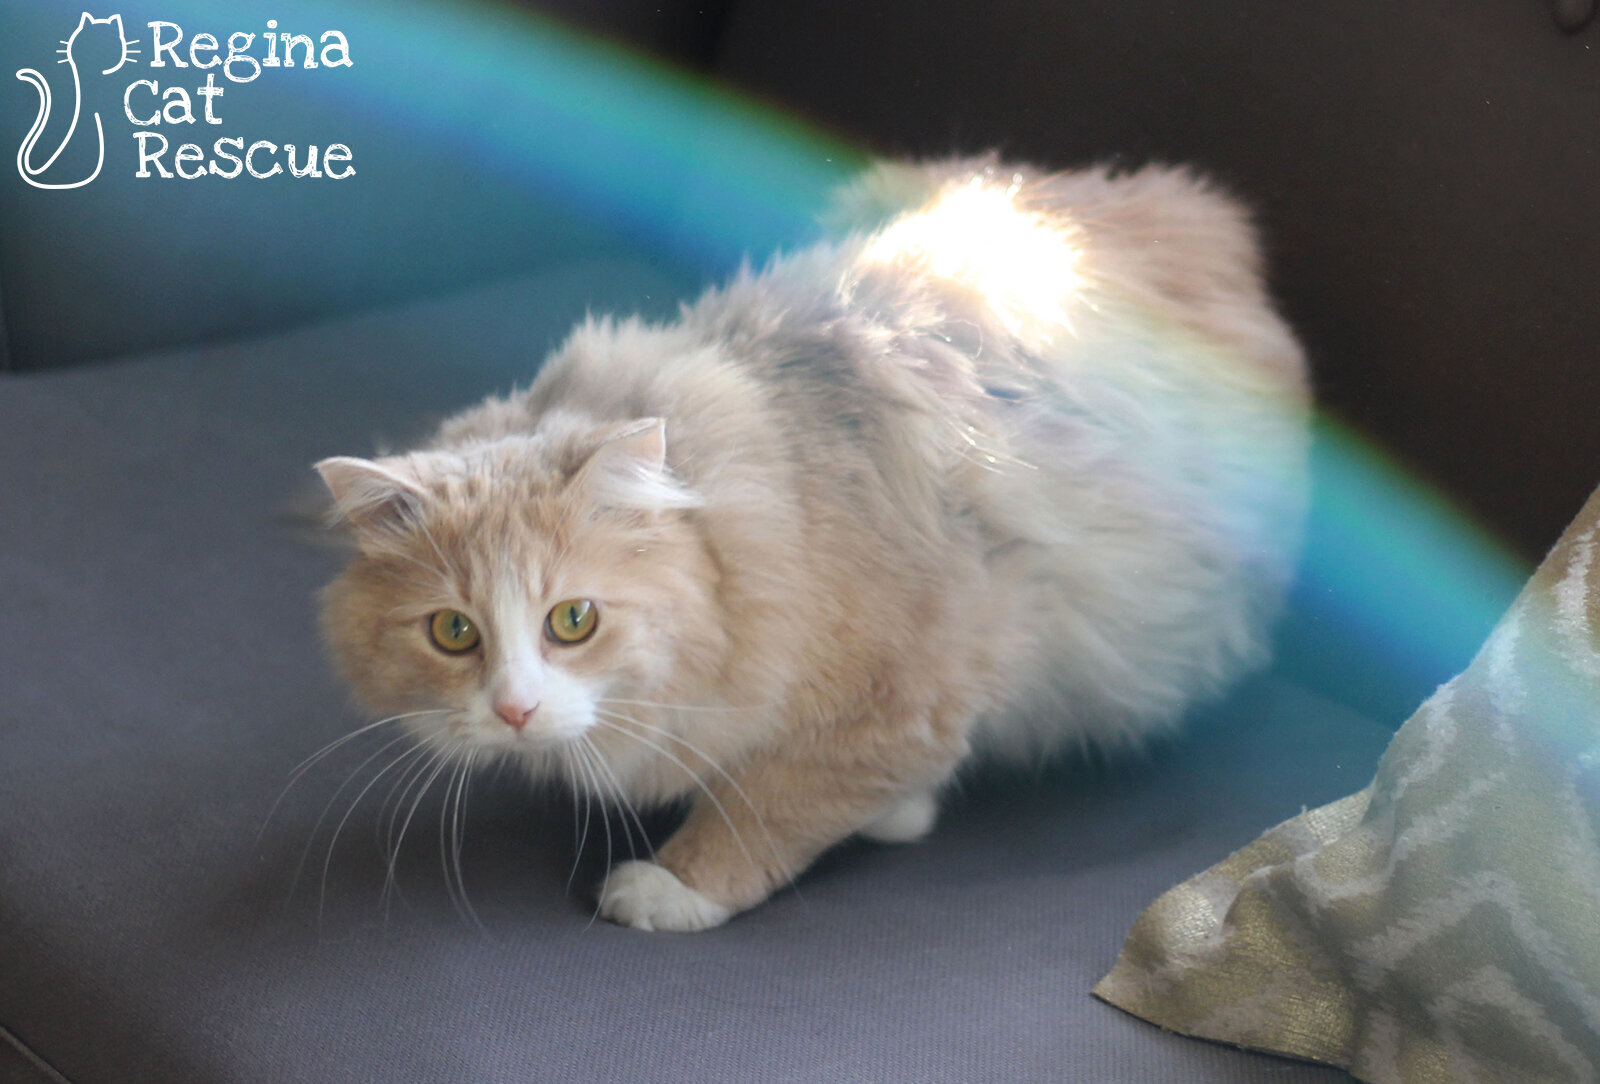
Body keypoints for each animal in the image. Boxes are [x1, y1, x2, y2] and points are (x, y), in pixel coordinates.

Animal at [314, 156, 1311, 931]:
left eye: (573, 620)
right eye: (453, 633)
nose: (515, 712)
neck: (771, 512)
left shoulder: (910, 694)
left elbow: (770, 807)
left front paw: (673, 887)